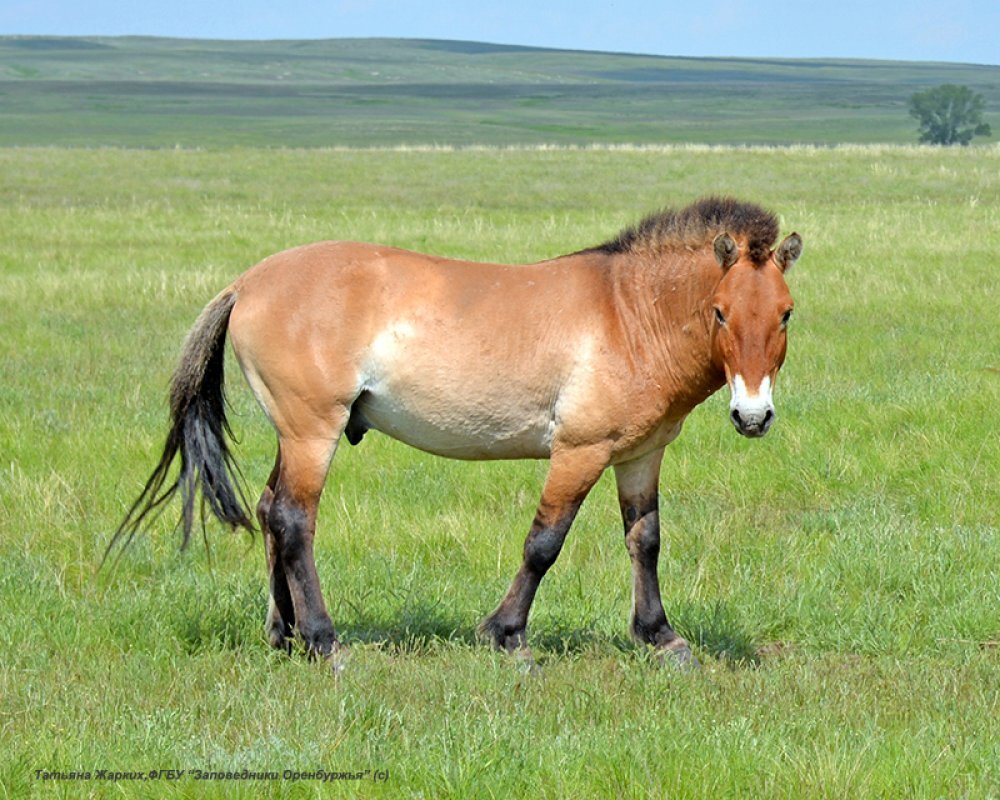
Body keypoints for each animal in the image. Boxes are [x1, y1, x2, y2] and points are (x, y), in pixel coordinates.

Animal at [115, 195, 804, 668]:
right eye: (721, 311)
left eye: (786, 313)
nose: (752, 416)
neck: (628, 313)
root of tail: (247, 282)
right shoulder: (579, 452)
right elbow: (544, 544)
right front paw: (508, 636)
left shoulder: (639, 456)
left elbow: (645, 541)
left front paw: (661, 637)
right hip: (313, 432)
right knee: (292, 520)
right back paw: (324, 641)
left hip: (294, 436)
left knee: (267, 512)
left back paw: (283, 634)